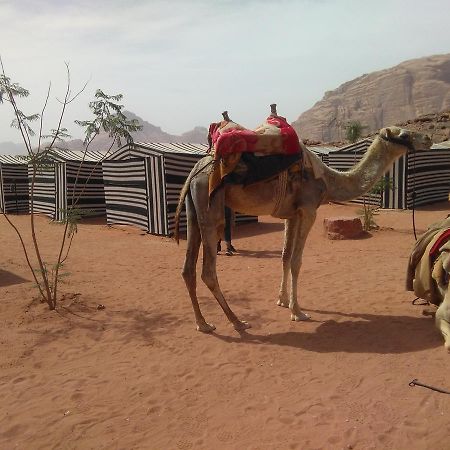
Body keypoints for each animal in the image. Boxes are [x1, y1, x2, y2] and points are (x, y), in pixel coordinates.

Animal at [173, 116, 432, 334]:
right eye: (404, 135)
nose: (428, 139)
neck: (327, 180)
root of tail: (194, 172)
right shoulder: (308, 210)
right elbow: (297, 261)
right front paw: (298, 312)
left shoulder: (292, 214)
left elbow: (285, 257)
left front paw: (282, 300)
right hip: (210, 207)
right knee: (208, 271)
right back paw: (238, 322)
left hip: (194, 208)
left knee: (187, 269)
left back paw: (203, 324)